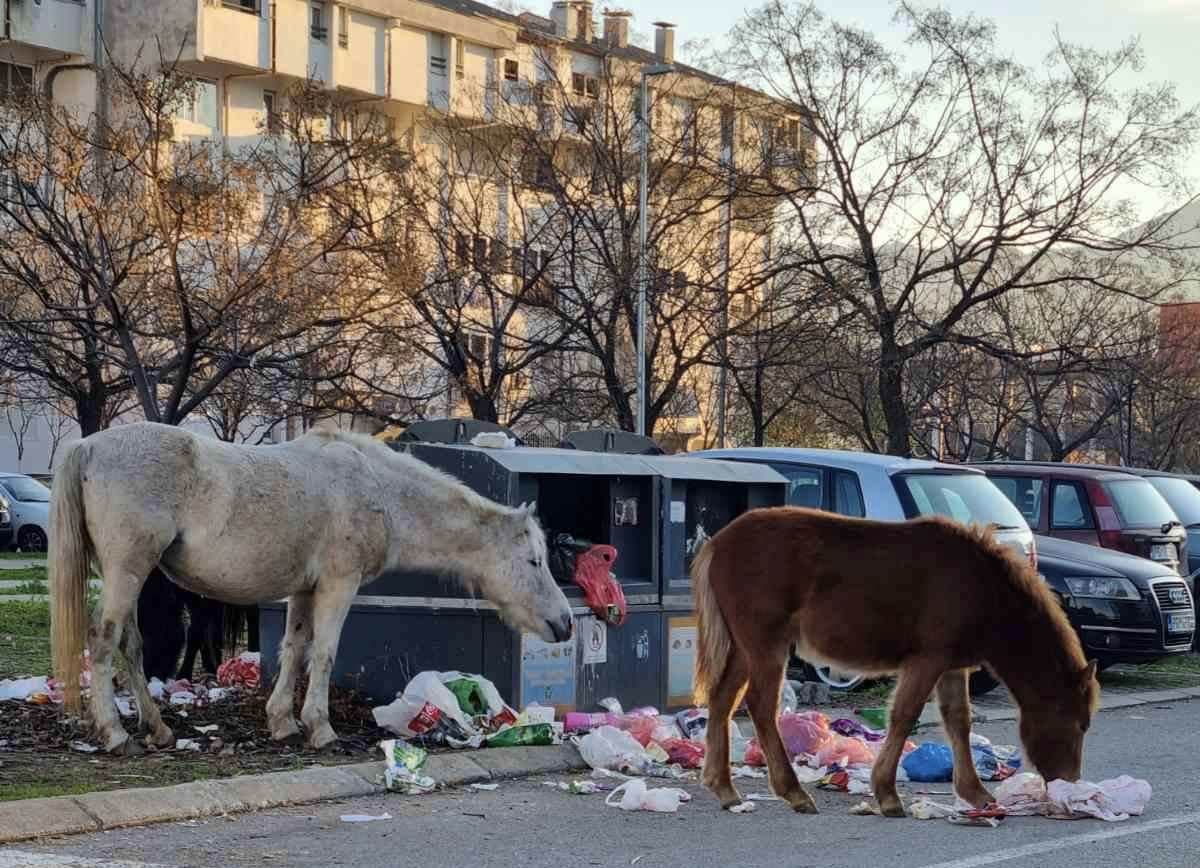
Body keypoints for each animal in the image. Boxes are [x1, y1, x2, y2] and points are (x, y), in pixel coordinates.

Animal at [54, 420, 578, 753]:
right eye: (534, 561)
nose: (566, 623)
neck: (377, 488)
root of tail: (89, 446)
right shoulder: (338, 585)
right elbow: (324, 653)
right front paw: (320, 728)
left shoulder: (304, 590)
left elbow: (295, 648)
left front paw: (282, 721)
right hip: (128, 572)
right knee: (104, 641)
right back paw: (115, 734)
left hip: (129, 576)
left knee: (131, 645)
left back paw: (158, 729)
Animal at [691, 506, 1099, 816]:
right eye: (1080, 724)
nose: (1069, 783)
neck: (982, 587)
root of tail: (719, 543)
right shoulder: (927, 661)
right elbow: (904, 716)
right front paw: (886, 793)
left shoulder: (952, 666)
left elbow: (959, 722)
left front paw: (975, 793)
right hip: (766, 645)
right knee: (761, 706)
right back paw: (792, 791)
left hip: (744, 648)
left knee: (722, 700)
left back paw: (724, 787)